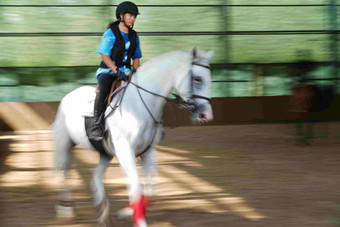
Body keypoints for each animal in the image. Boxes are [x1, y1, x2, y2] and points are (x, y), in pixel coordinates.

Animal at [53, 47, 212, 226]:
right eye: (197, 79)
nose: (206, 115)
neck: (140, 105)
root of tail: (67, 97)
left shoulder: (148, 152)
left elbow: (151, 189)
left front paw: (126, 212)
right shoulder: (125, 152)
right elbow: (136, 187)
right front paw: (138, 220)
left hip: (105, 154)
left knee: (96, 178)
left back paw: (104, 214)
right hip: (64, 144)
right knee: (63, 172)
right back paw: (65, 211)